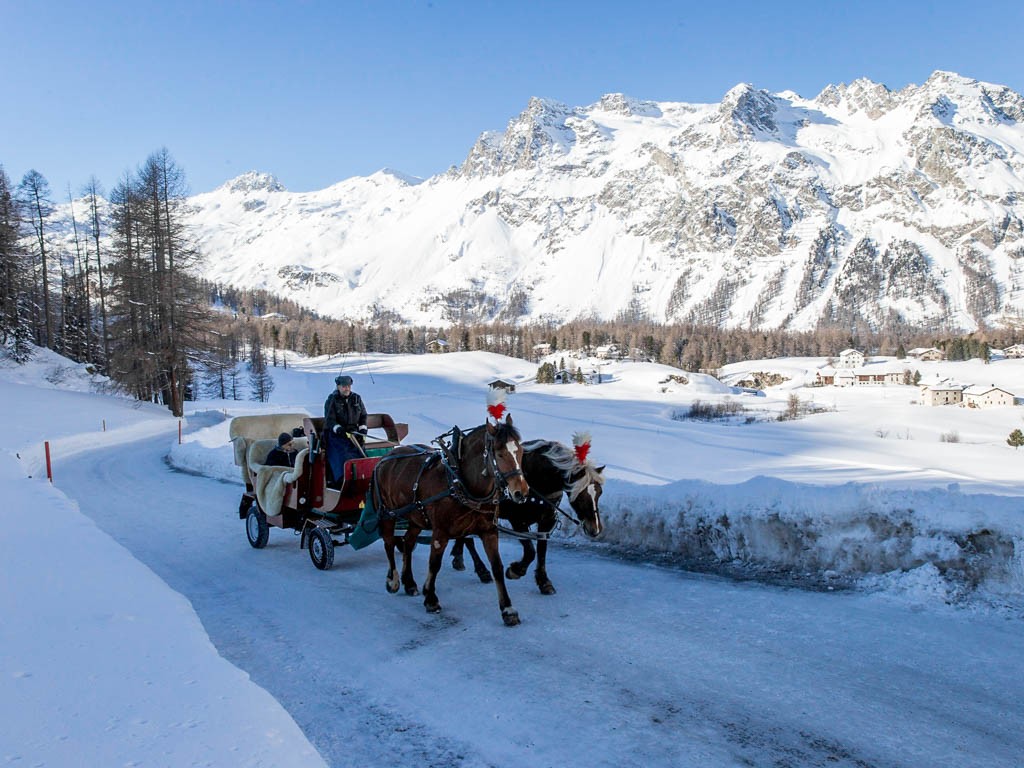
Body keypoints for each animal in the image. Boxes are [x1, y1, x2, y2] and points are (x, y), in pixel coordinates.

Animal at [372, 417, 528, 626]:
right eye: (500, 454)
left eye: (520, 451)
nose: (521, 492)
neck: (460, 481)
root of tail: (385, 457)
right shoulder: (441, 533)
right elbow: (434, 564)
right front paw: (430, 598)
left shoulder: (489, 531)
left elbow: (497, 566)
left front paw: (508, 609)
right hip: (388, 513)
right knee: (389, 543)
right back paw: (393, 580)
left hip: (416, 517)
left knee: (408, 543)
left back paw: (409, 582)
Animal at [452, 438, 602, 593]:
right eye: (581, 496)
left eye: (599, 493)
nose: (595, 529)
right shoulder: (517, 521)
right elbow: (530, 551)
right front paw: (516, 571)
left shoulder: (547, 521)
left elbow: (541, 550)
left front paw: (544, 581)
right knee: (468, 539)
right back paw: (482, 570)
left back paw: (458, 557)